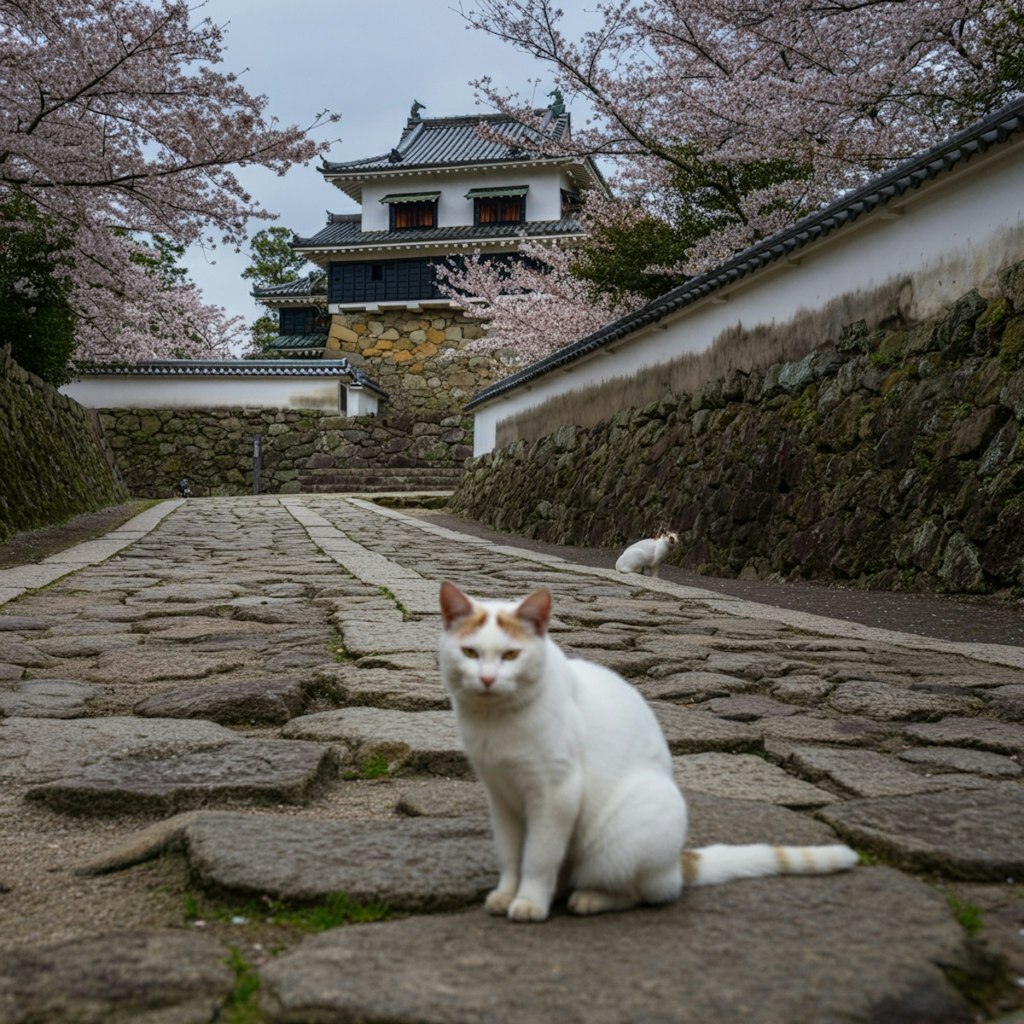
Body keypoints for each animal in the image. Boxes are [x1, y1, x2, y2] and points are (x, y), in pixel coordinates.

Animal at [436, 581, 860, 925]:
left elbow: (538, 857)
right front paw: (506, 893)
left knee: (646, 892)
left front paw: (528, 902)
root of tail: (676, 863)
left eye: (510, 656)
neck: (495, 723)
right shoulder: (501, 796)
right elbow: (511, 854)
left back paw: (589, 898)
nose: (487, 679)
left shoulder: (556, 794)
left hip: (622, 835)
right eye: (470, 652)